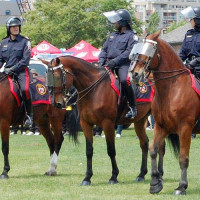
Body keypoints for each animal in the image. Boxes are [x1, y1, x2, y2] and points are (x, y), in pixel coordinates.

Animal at [42, 55, 153, 186]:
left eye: (57, 77)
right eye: (47, 78)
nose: (56, 103)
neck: (94, 89)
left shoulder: (108, 124)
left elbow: (111, 150)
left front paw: (114, 176)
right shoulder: (86, 123)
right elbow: (89, 150)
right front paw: (87, 178)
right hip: (140, 121)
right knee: (144, 143)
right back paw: (141, 174)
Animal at [130, 30, 200, 195]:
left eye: (148, 52)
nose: (134, 74)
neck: (173, 89)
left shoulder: (185, 128)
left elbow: (183, 158)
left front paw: (181, 186)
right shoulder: (161, 127)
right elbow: (153, 149)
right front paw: (155, 182)